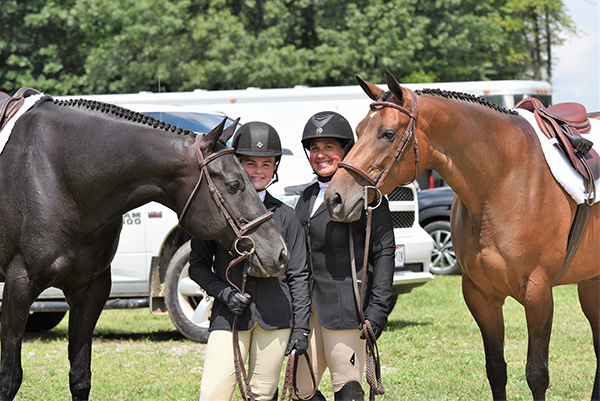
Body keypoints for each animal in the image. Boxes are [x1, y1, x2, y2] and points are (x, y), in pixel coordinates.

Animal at [0, 92, 288, 398]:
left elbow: (80, 377)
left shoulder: (89, 290)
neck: (60, 176)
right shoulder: (19, 286)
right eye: (234, 184)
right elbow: (10, 378)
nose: (279, 252)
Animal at [326, 72, 596, 400]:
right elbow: (496, 370)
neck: (502, 179)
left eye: (387, 134)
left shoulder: (538, 293)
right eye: (358, 129)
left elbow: (537, 374)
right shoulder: (481, 296)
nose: (335, 198)